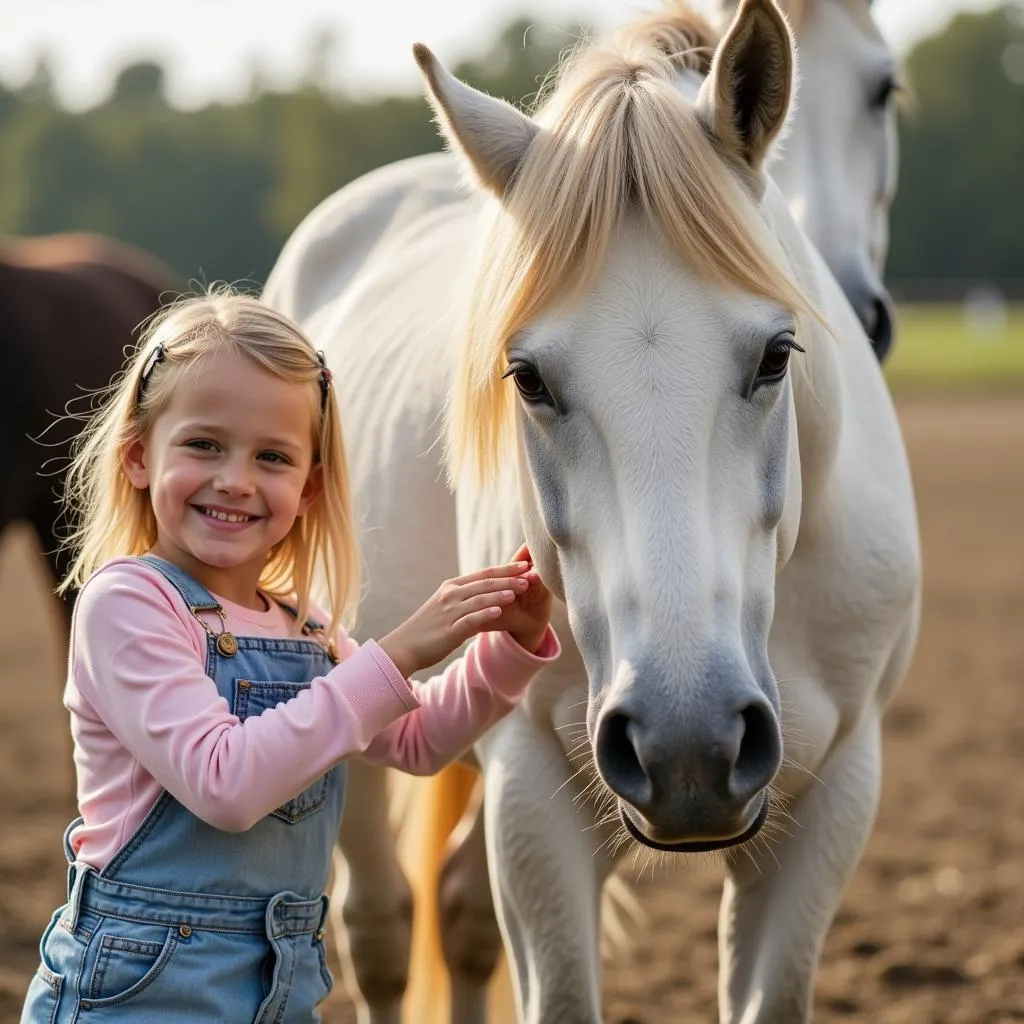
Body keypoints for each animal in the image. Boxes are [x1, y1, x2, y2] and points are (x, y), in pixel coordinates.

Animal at [262, 4, 921, 1019]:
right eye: (527, 377)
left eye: (777, 354)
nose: (689, 743)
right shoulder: (535, 787)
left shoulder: (840, 790)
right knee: (381, 932)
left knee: (458, 916)